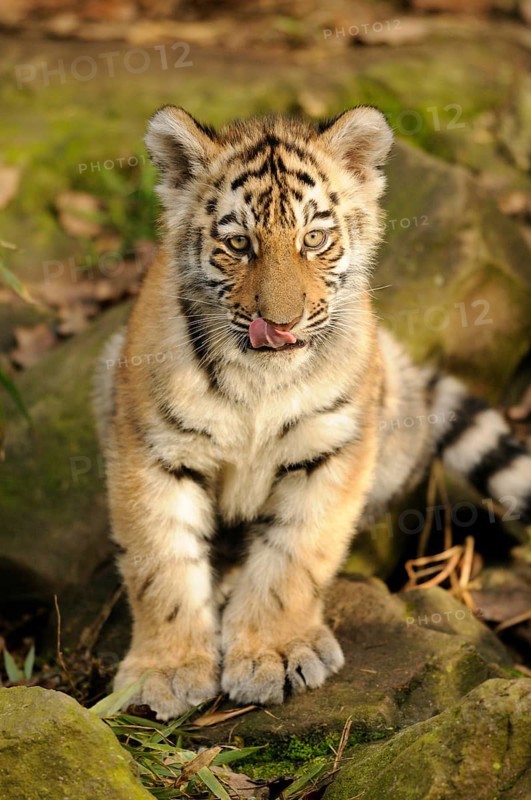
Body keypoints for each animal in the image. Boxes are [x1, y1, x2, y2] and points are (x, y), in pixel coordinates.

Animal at [93, 105, 531, 721]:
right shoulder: (152, 449)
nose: (279, 325)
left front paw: (274, 652)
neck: (259, 378)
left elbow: (295, 554)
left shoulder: (334, 447)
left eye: (314, 239)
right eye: (238, 244)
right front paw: (168, 669)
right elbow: (162, 563)